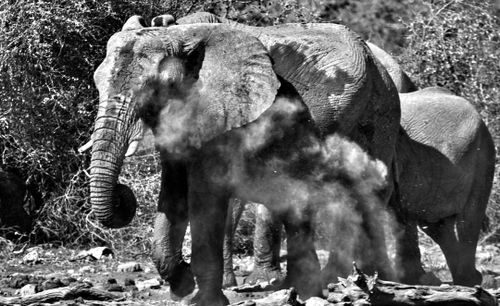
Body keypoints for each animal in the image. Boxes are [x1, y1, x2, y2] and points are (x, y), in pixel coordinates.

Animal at [84, 17, 400, 306]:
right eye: (96, 82)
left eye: (160, 86)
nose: (123, 194)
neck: (179, 34)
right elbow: (173, 192)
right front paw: (184, 286)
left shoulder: (221, 115)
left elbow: (204, 194)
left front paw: (204, 300)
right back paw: (315, 287)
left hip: (376, 115)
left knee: (360, 195)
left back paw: (356, 281)